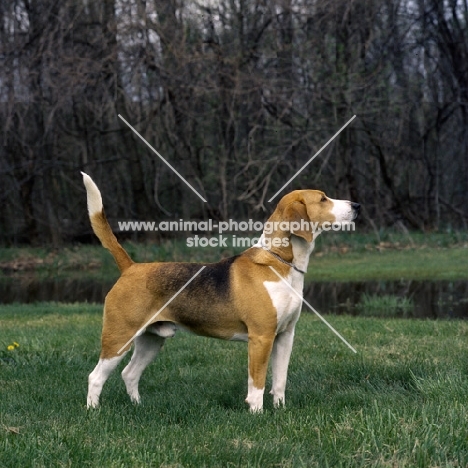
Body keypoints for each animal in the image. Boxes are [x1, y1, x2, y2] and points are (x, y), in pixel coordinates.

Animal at [82, 173, 360, 414]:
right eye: (323, 199)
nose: (356, 205)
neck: (280, 261)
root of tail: (131, 267)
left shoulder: (285, 336)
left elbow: (279, 381)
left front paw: (280, 410)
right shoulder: (261, 338)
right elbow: (257, 383)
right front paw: (257, 414)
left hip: (151, 339)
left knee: (129, 374)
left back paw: (138, 406)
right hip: (119, 337)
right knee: (95, 376)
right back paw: (93, 411)